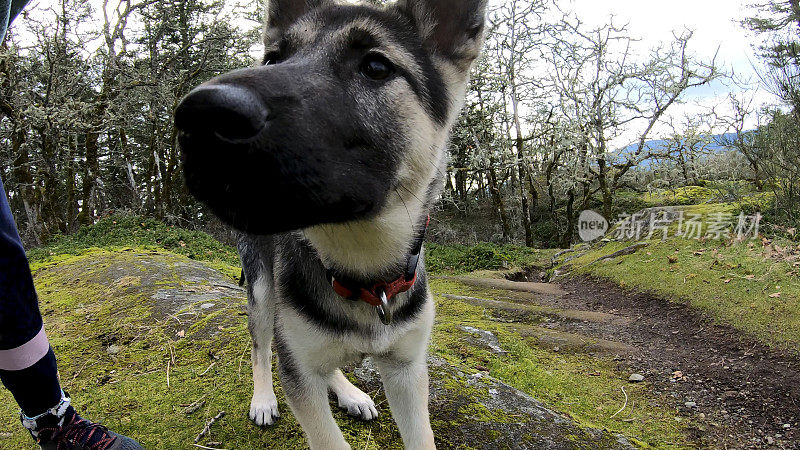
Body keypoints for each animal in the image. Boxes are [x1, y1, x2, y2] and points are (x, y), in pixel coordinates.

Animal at [176, 1, 488, 448]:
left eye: (375, 66)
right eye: (272, 59)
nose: (199, 115)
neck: (363, 272)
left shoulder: (407, 370)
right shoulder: (298, 373)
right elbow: (321, 425)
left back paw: (349, 391)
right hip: (263, 290)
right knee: (261, 345)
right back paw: (264, 398)